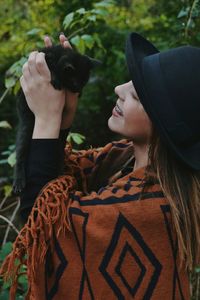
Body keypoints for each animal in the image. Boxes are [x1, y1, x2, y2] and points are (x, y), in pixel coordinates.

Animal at [12, 44, 100, 195]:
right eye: (75, 82)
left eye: (84, 82)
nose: (78, 91)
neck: (58, 55)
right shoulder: (44, 57)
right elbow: (51, 69)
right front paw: (55, 78)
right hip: (27, 124)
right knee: (21, 152)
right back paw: (18, 182)